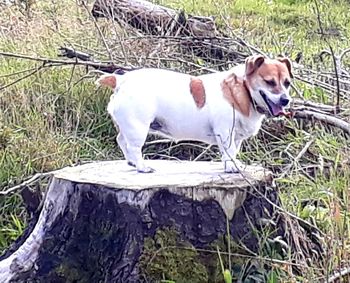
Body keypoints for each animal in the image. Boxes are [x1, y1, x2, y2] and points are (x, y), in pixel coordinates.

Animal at [95, 55, 292, 173]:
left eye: (287, 83)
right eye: (269, 82)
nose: (286, 100)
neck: (243, 90)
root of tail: (121, 79)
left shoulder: (236, 137)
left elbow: (233, 152)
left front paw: (235, 164)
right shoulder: (225, 133)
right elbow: (228, 151)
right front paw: (231, 167)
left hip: (129, 127)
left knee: (121, 140)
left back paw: (131, 163)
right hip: (138, 128)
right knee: (133, 147)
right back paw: (142, 166)